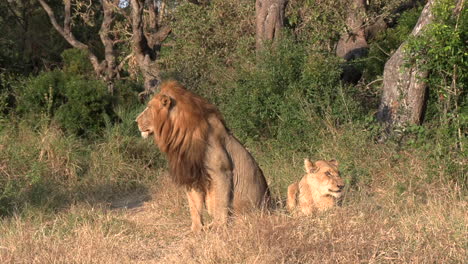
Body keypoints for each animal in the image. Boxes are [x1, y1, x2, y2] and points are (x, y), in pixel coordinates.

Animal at [135, 80, 268, 231]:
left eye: (149, 107)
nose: (136, 120)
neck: (178, 133)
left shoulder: (221, 171)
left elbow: (220, 204)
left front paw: (218, 228)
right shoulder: (190, 173)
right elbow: (194, 206)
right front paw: (196, 229)